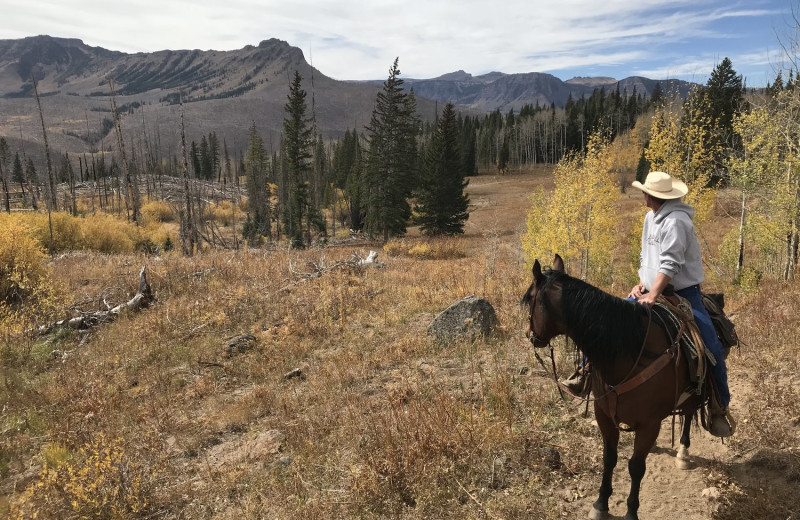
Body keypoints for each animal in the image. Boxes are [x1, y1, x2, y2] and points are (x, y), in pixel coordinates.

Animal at [520, 255, 704, 520]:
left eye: (530, 300)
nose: (530, 335)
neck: (628, 351)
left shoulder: (649, 423)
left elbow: (636, 467)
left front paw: (631, 511)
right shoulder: (604, 414)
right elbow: (609, 458)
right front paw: (600, 504)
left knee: (689, 413)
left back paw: (683, 452)